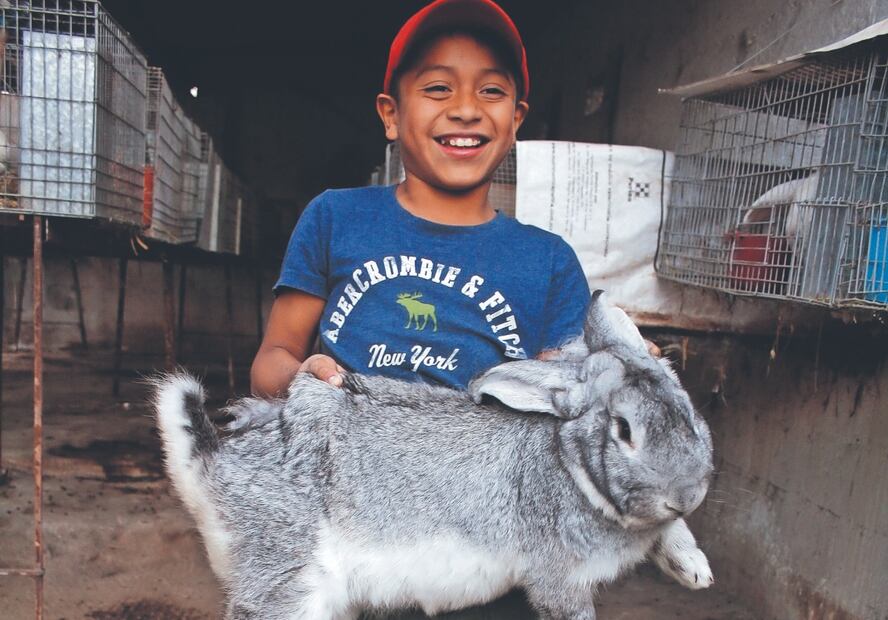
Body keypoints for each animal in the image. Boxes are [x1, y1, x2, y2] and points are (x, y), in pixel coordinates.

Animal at [153, 290, 714, 620]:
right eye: (623, 430)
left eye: (688, 409)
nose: (686, 494)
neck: (568, 462)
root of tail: (207, 466)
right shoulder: (560, 580)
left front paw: (695, 571)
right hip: (288, 584)